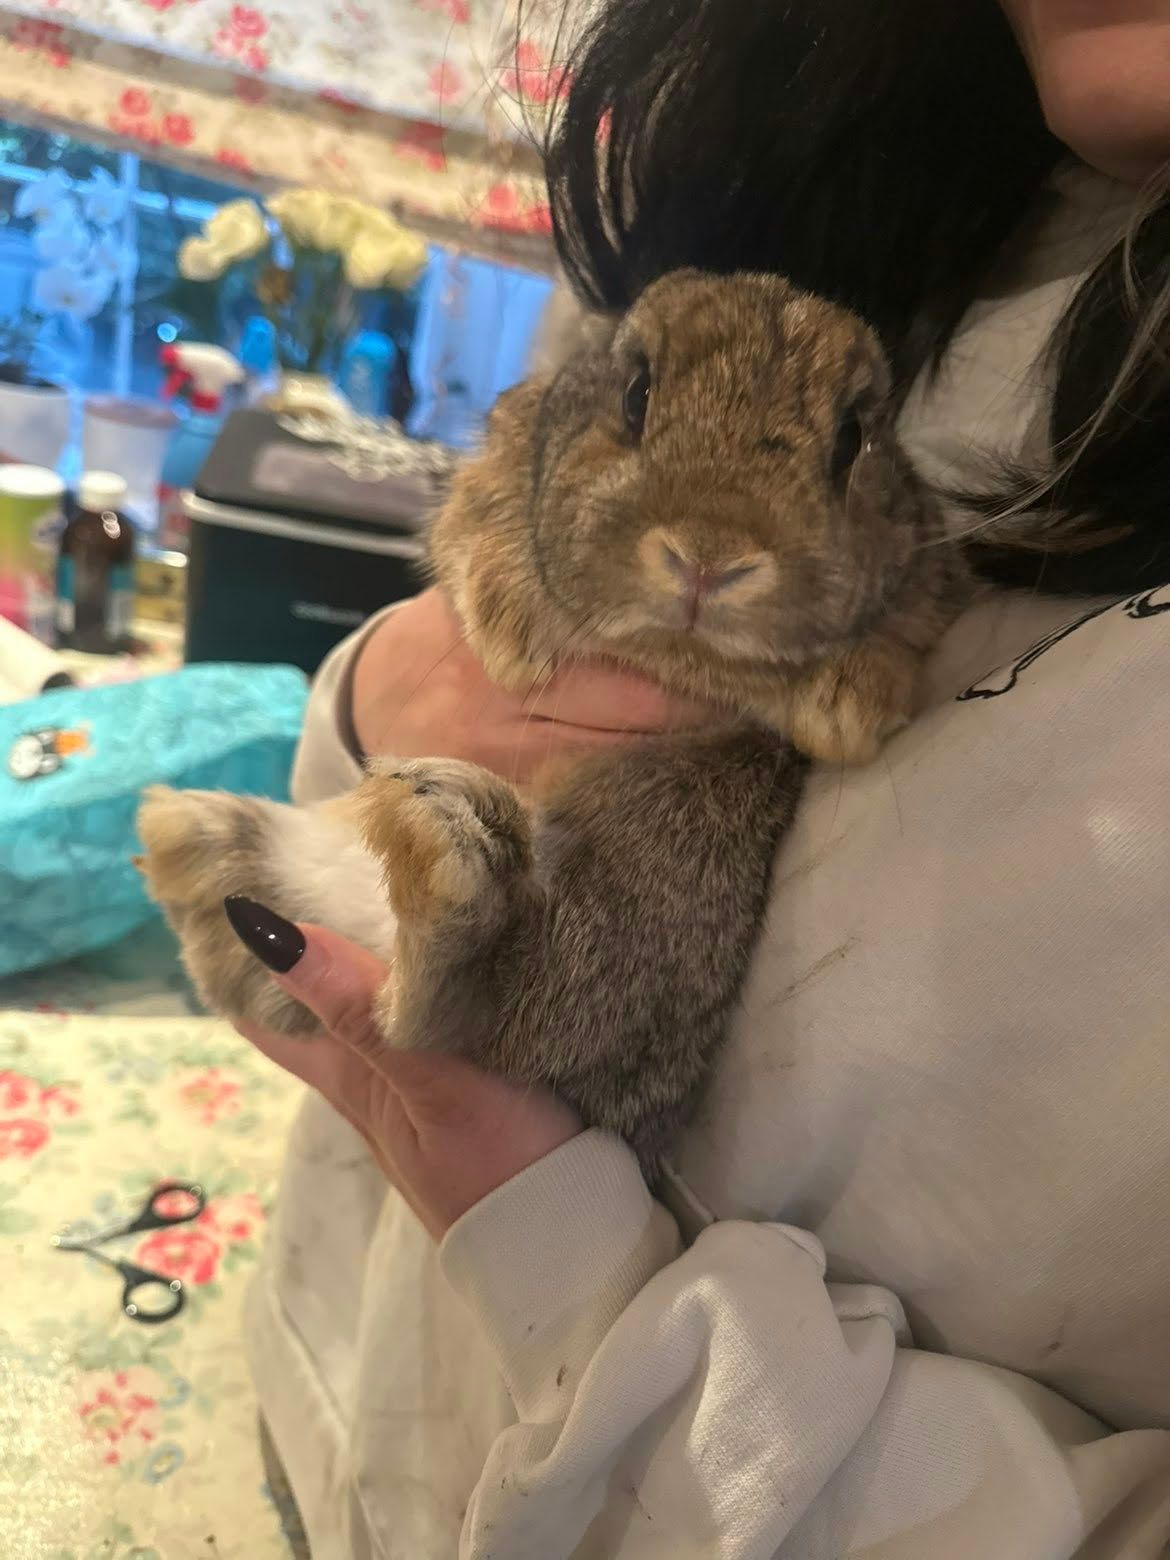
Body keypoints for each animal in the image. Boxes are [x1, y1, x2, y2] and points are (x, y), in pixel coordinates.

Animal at [137, 270, 971, 1170]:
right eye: (638, 395)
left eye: (853, 439)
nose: (710, 553)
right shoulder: (502, 463)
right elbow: (486, 522)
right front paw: (508, 627)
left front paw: (849, 705)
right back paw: (204, 845)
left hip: (665, 853)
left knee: (499, 1004)